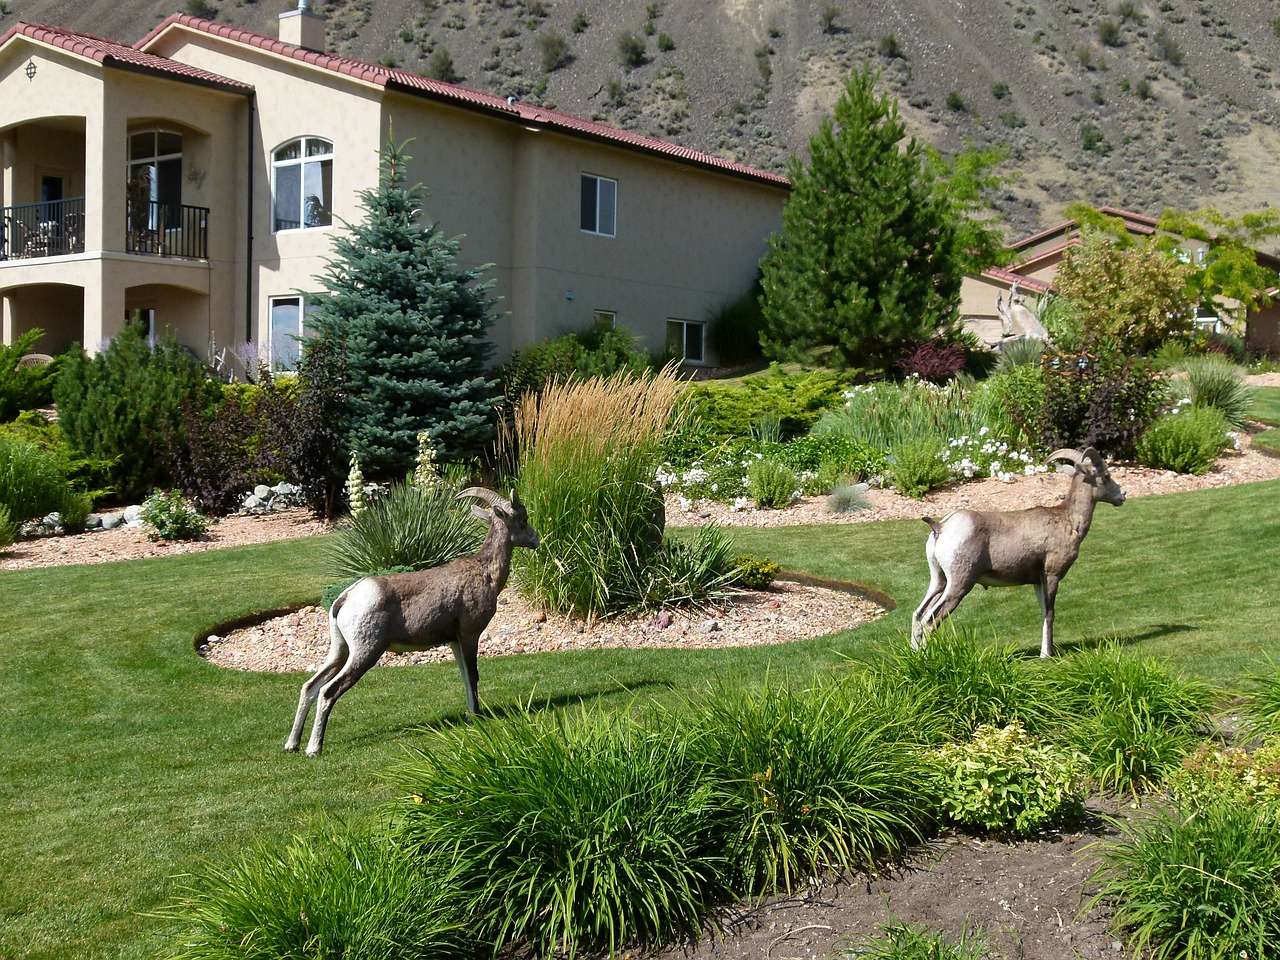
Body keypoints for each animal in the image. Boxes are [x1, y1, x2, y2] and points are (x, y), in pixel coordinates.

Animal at [282, 488, 537, 757]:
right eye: (523, 519)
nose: (536, 539)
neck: (485, 572)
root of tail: (346, 598)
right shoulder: (469, 635)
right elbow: (473, 675)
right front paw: (475, 717)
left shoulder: (454, 641)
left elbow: (465, 676)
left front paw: (470, 715)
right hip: (365, 652)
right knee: (328, 691)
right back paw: (313, 748)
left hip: (340, 651)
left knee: (310, 687)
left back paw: (292, 745)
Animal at [911, 445, 1121, 660]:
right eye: (1106, 475)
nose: (1122, 495)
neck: (1069, 520)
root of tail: (941, 527)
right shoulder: (1051, 575)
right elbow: (1050, 614)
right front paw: (1046, 656)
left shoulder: (1038, 581)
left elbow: (1043, 612)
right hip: (959, 584)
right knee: (930, 620)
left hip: (939, 580)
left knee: (918, 615)